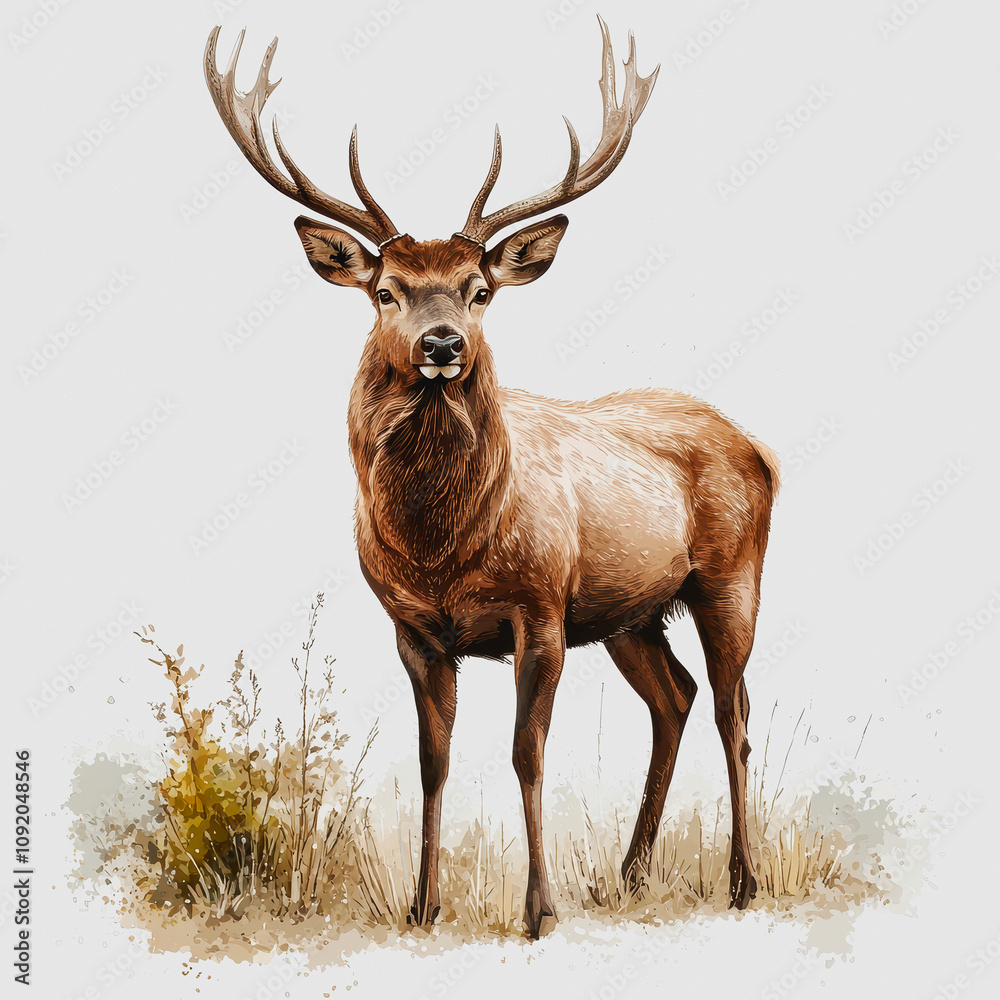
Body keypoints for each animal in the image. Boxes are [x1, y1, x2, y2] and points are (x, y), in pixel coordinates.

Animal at [205, 18, 780, 939]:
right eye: (386, 291)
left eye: (479, 290)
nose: (442, 344)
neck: (445, 544)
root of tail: (761, 448)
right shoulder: (412, 627)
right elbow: (433, 761)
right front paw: (422, 905)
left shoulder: (539, 607)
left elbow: (525, 753)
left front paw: (539, 909)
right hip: (629, 611)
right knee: (676, 698)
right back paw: (628, 874)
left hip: (732, 573)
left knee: (736, 711)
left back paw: (743, 881)